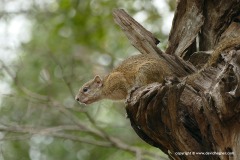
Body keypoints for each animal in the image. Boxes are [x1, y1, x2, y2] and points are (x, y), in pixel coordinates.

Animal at [75, 36, 240, 104]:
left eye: (85, 89)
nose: (77, 99)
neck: (105, 87)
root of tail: (168, 73)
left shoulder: (117, 79)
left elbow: (126, 87)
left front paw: (129, 93)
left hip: (145, 71)